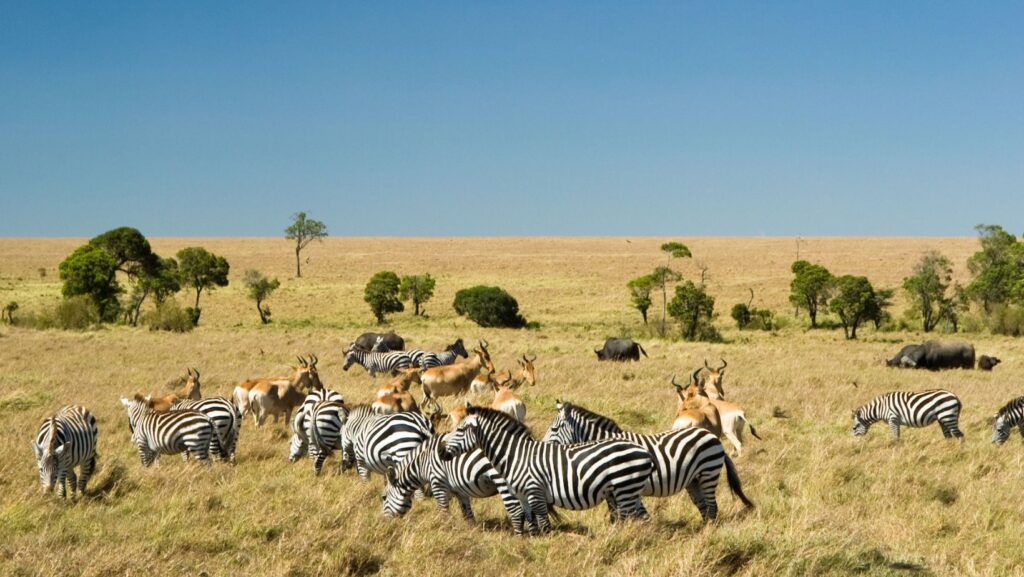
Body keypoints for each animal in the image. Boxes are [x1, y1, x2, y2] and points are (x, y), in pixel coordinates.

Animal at [381, 433, 526, 534]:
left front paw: (443, 531)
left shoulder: (438, 484)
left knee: (517, 510)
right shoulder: (460, 490)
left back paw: (519, 537)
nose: (384, 523)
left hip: (503, 481)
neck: (422, 463)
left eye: (383, 497)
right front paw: (471, 533)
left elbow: (443, 512)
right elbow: (468, 514)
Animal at [443, 406, 654, 534]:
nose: (441, 452)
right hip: (627, 490)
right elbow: (531, 523)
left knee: (628, 519)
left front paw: (545, 546)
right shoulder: (523, 496)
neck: (515, 454)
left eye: (460, 430)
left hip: (624, 488)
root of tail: (644, 452)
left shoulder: (535, 491)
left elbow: (544, 524)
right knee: (640, 516)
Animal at [544, 401, 753, 521]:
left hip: (708, 473)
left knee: (712, 507)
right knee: (705, 508)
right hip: (693, 480)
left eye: (554, 429)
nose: (543, 446)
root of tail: (711, 436)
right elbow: (618, 516)